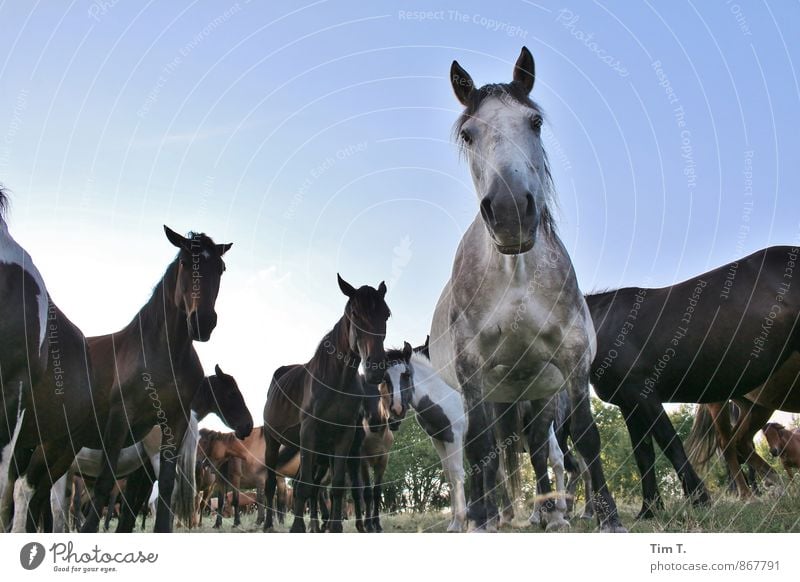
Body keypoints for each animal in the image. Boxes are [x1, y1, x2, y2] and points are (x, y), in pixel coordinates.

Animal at [79, 227, 231, 532]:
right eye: (184, 262)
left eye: (221, 268)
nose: (202, 322)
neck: (163, 354)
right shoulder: (120, 418)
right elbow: (104, 482)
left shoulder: (175, 421)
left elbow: (167, 486)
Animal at [262, 276, 390, 536]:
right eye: (354, 313)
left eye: (387, 314)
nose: (376, 369)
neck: (336, 379)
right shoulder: (309, 431)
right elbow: (305, 486)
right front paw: (297, 527)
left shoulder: (344, 436)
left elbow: (337, 485)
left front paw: (335, 526)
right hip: (273, 441)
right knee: (270, 483)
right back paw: (269, 524)